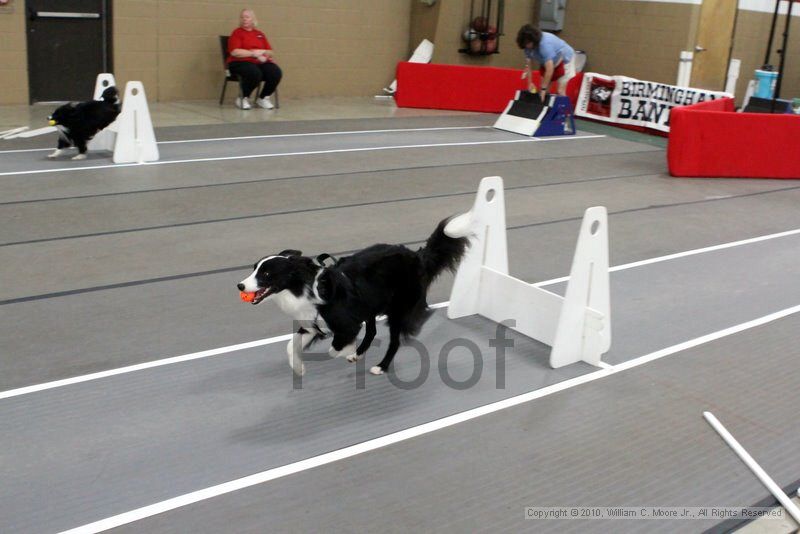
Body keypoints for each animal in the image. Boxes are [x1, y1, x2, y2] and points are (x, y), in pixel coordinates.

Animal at [238, 218, 472, 376]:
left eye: (266, 274)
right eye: (254, 268)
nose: (240, 285)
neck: (307, 287)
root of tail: (418, 256)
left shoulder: (346, 324)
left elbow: (334, 348)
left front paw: (347, 350)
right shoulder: (311, 324)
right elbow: (290, 345)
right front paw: (299, 368)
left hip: (397, 310)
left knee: (395, 340)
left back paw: (380, 366)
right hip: (369, 304)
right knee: (372, 330)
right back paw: (359, 354)